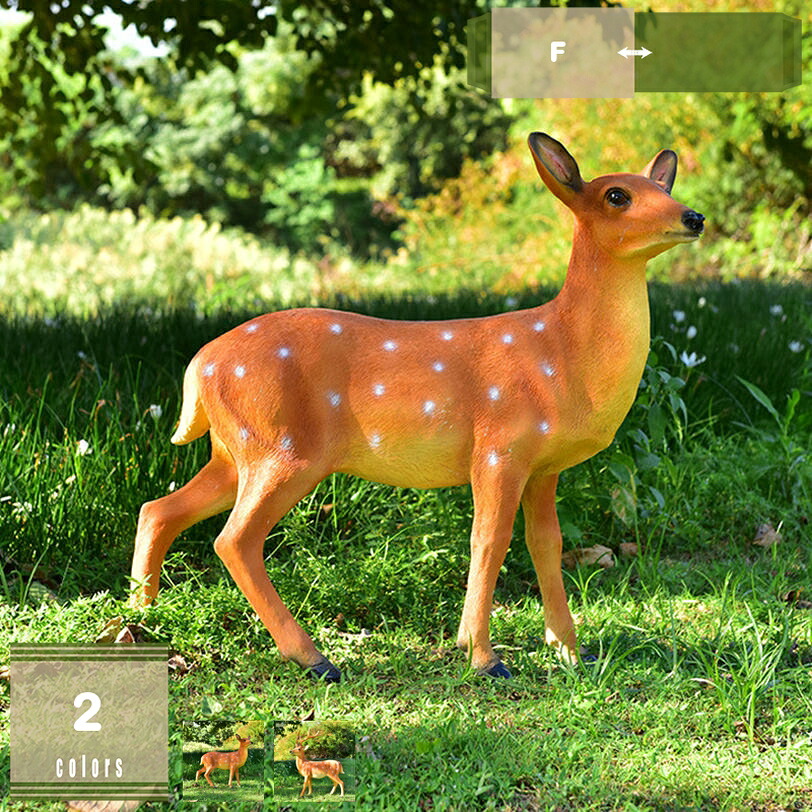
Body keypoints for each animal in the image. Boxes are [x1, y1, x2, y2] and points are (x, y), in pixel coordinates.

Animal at [129, 132, 704, 682]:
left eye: (664, 188)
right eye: (617, 195)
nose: (693, 217)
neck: (562, 353)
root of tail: (198, 365)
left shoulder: (544, 466)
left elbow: (546, 543)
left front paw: (570, 651)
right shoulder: (498, 446)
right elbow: (488, 540)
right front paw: (483, 657)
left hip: (236, 450)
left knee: (158, 508)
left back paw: (140, 616)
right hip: (284, 447)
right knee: (234, 540)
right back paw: (314, 659)